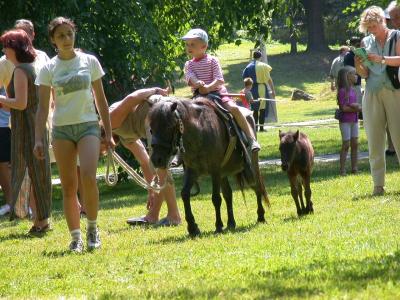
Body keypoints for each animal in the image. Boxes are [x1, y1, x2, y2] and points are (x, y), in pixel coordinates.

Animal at [149, 97, 268, 236]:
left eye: (169, 127)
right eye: (151, 129)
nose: (157, 159)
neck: (200, 131)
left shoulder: (215, 170)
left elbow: (216, 198)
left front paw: (218, 225)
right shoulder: (192, 171)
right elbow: (185, 194)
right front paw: (193, 227)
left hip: (250, 168)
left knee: (257, 187)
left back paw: (260, 216)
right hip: (224, 174)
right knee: (228, 194)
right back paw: (231, 223)